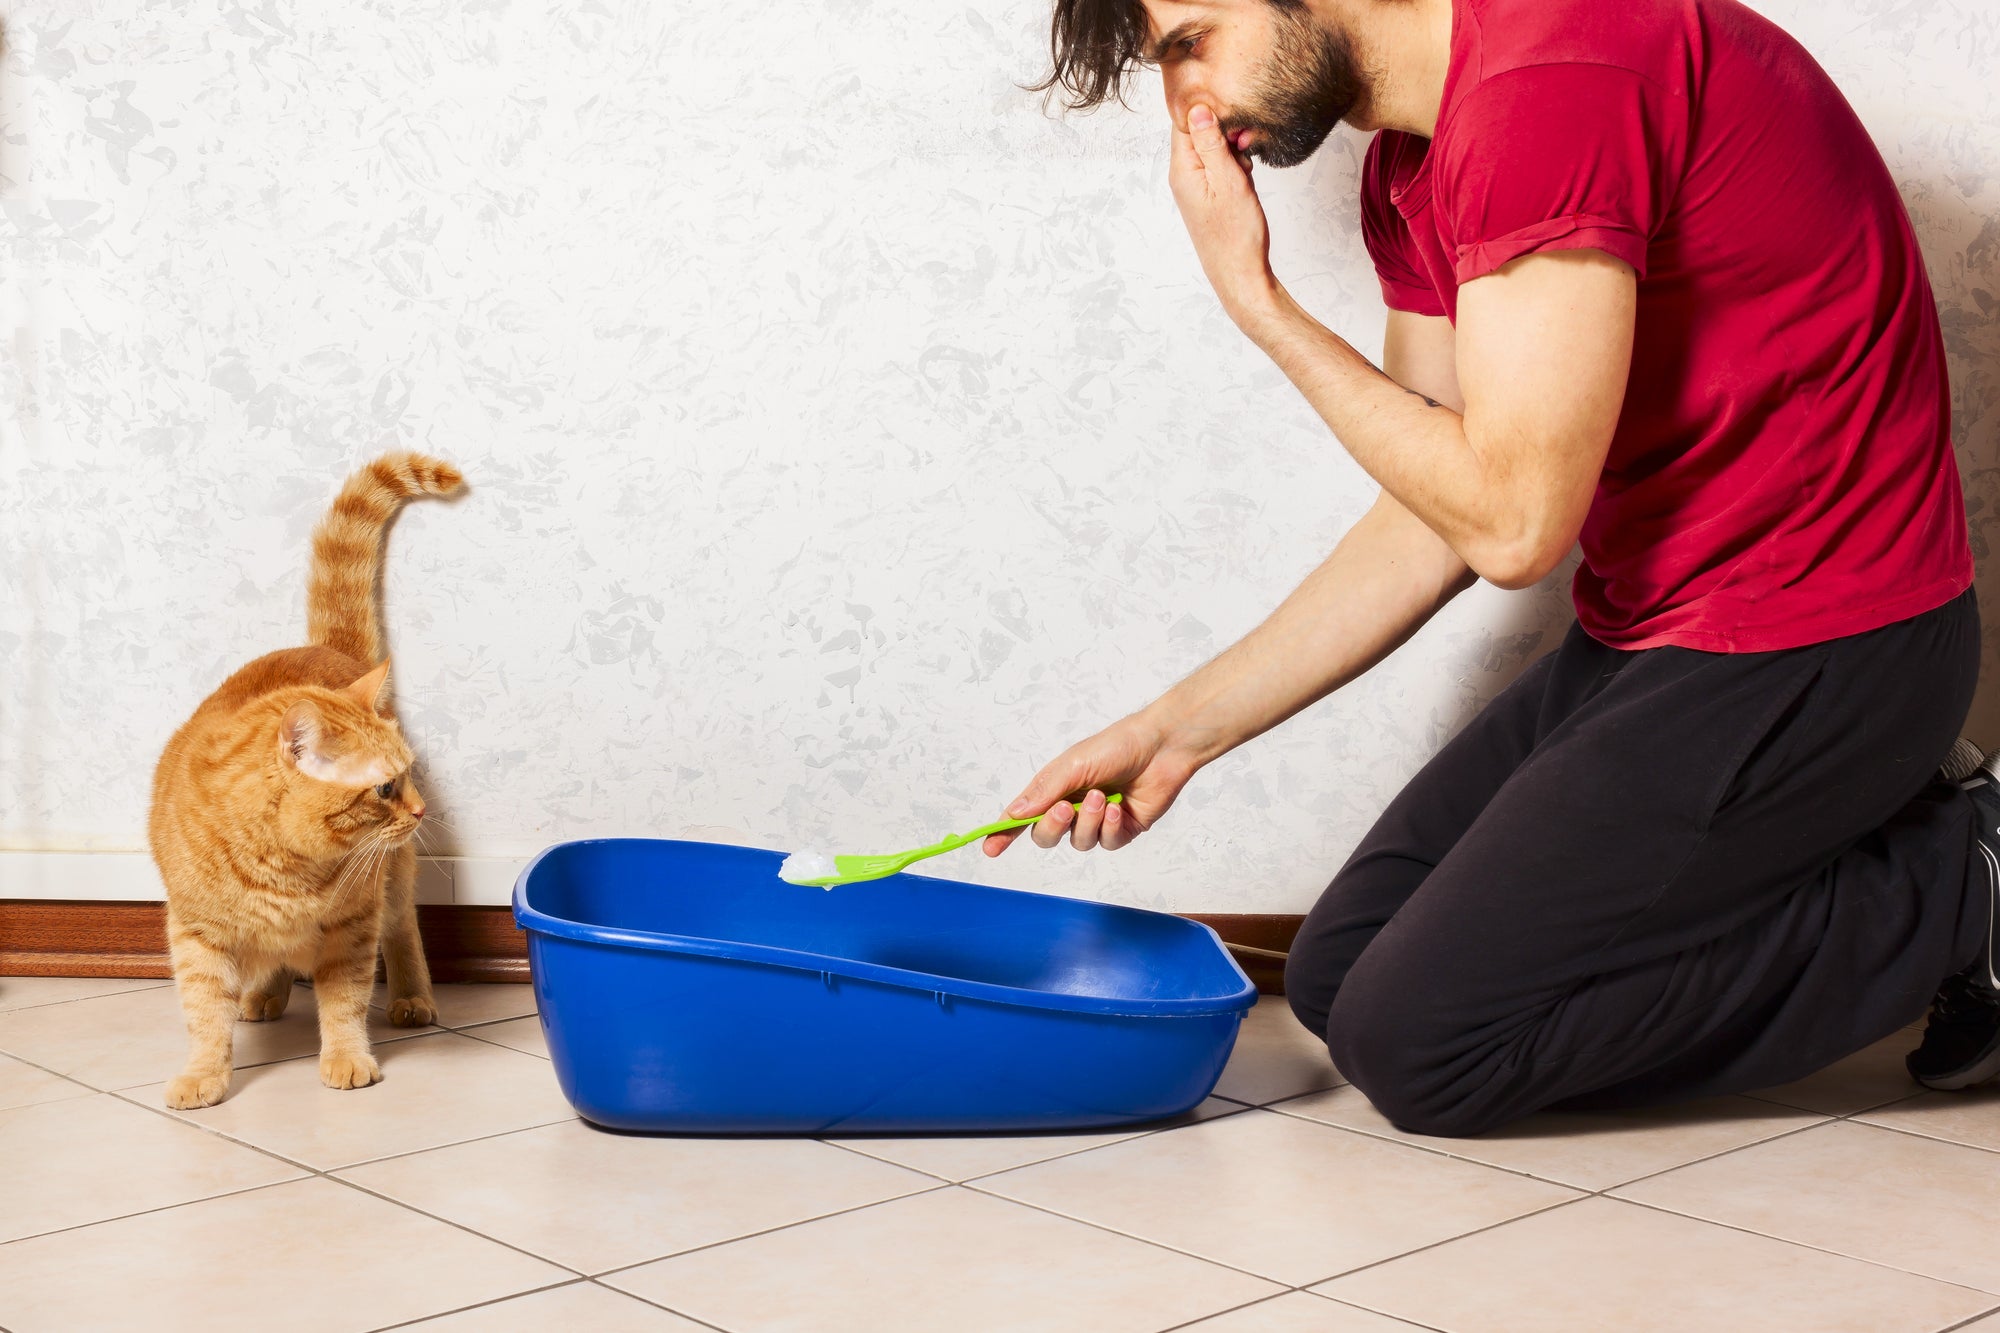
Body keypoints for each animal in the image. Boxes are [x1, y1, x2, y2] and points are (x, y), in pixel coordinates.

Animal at [147, 452, 460, 1104]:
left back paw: (411, 998)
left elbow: (344, 1002)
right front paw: (205, 1073)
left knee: (404, 930)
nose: (419, 810)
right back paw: (264, 995)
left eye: (407, 775)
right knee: (274, 961)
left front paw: (346, 1058)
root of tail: (321, 648)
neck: (285, 866)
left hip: (393, 881)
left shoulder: (354, 925)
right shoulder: (199, 934)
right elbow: (205, 1012)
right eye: (385, 789)